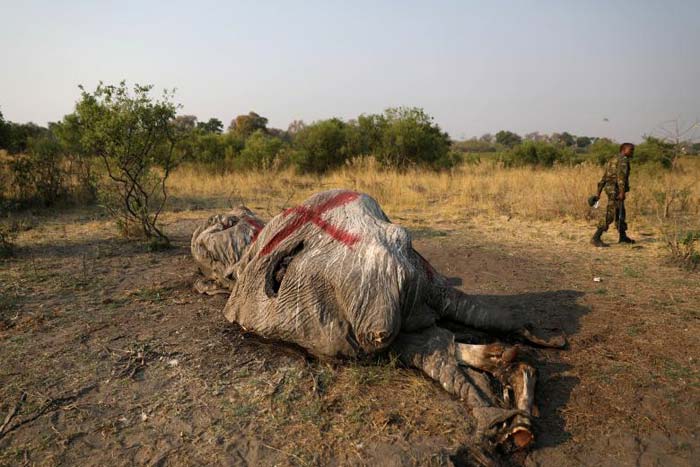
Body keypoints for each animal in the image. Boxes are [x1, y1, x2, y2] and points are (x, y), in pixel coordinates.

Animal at [190, 190, 564, 454]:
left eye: (225, 223)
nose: (220, 217)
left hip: (383, 303)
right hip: (387, 313)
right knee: (441, 345)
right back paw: (512, 403)